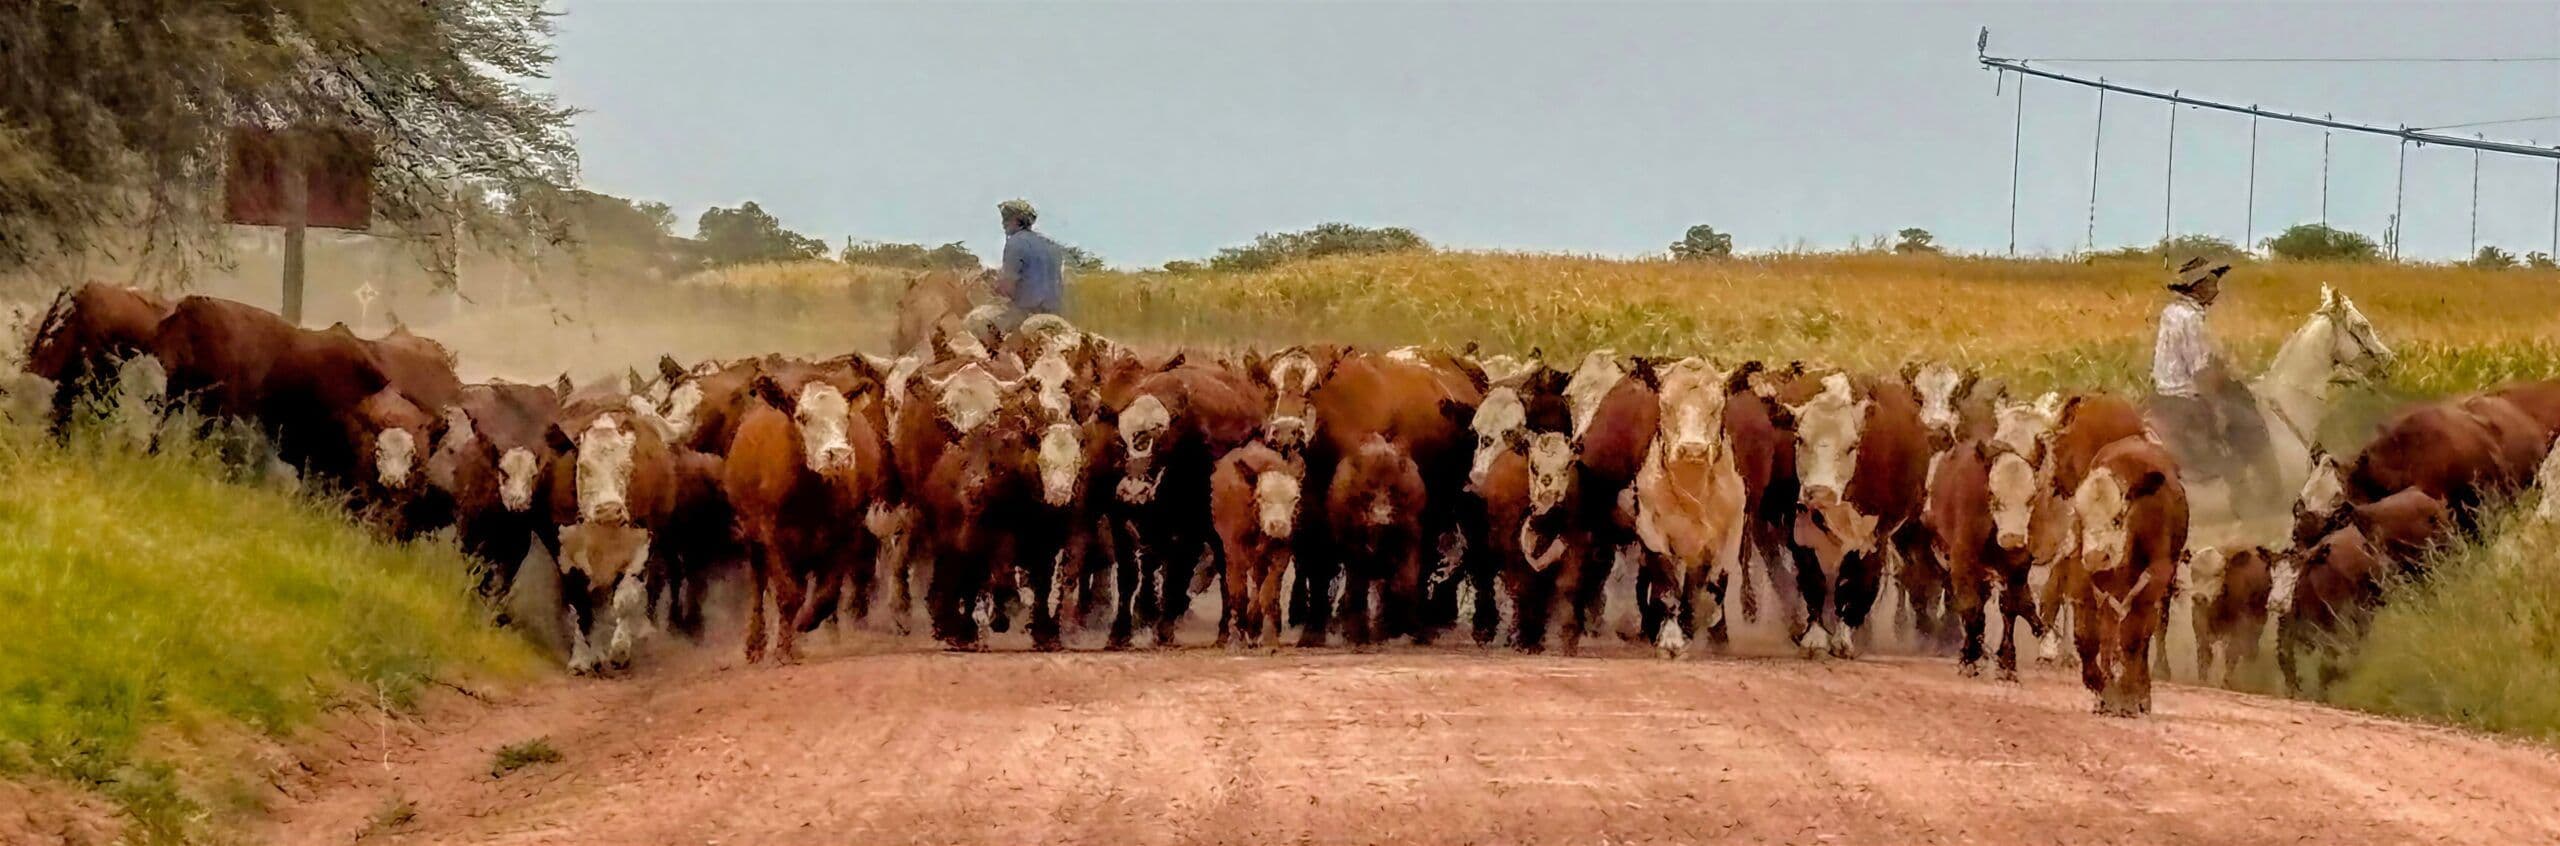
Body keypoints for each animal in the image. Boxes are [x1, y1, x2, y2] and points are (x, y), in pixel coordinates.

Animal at [1210, 442, 1304, 651]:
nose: (1278, 525)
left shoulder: (1283, 550)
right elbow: (1238, 593)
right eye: (1262, 497)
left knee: (1259, 581)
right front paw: (1236, 640)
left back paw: (1254, 627)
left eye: (1294, 498)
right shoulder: (1234, 549)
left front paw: (1269, 639)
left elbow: (1268, 592)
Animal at [1631, 359, 1753, 657]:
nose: (1693, 449)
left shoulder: (1731, 532)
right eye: (1666, 404)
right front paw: (1671, 640)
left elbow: (1714, 587)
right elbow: (1666, 586)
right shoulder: (1651, 530)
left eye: (1717, 407)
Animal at [2066, 437, 2188, 716]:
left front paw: (2130, 697)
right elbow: (2090, 636)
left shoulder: (2157, 575)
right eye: (2081, 518)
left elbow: (2133, 638)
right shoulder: (2087, 572)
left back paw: (2139, 694)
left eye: (2117, 519)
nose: (2096, 557)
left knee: (2143, 635)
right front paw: (2103, 689)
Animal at [2183, 545, 2274, 687]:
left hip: (2258, 624)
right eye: (2194, 571)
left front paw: (2225, 684)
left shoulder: (2240, 629)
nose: (2199, 597)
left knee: (2251, 651)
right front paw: (2202, 682)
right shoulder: (2200, 627)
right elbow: (2204, 656)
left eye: (2218, 573)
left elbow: (2231, 655)